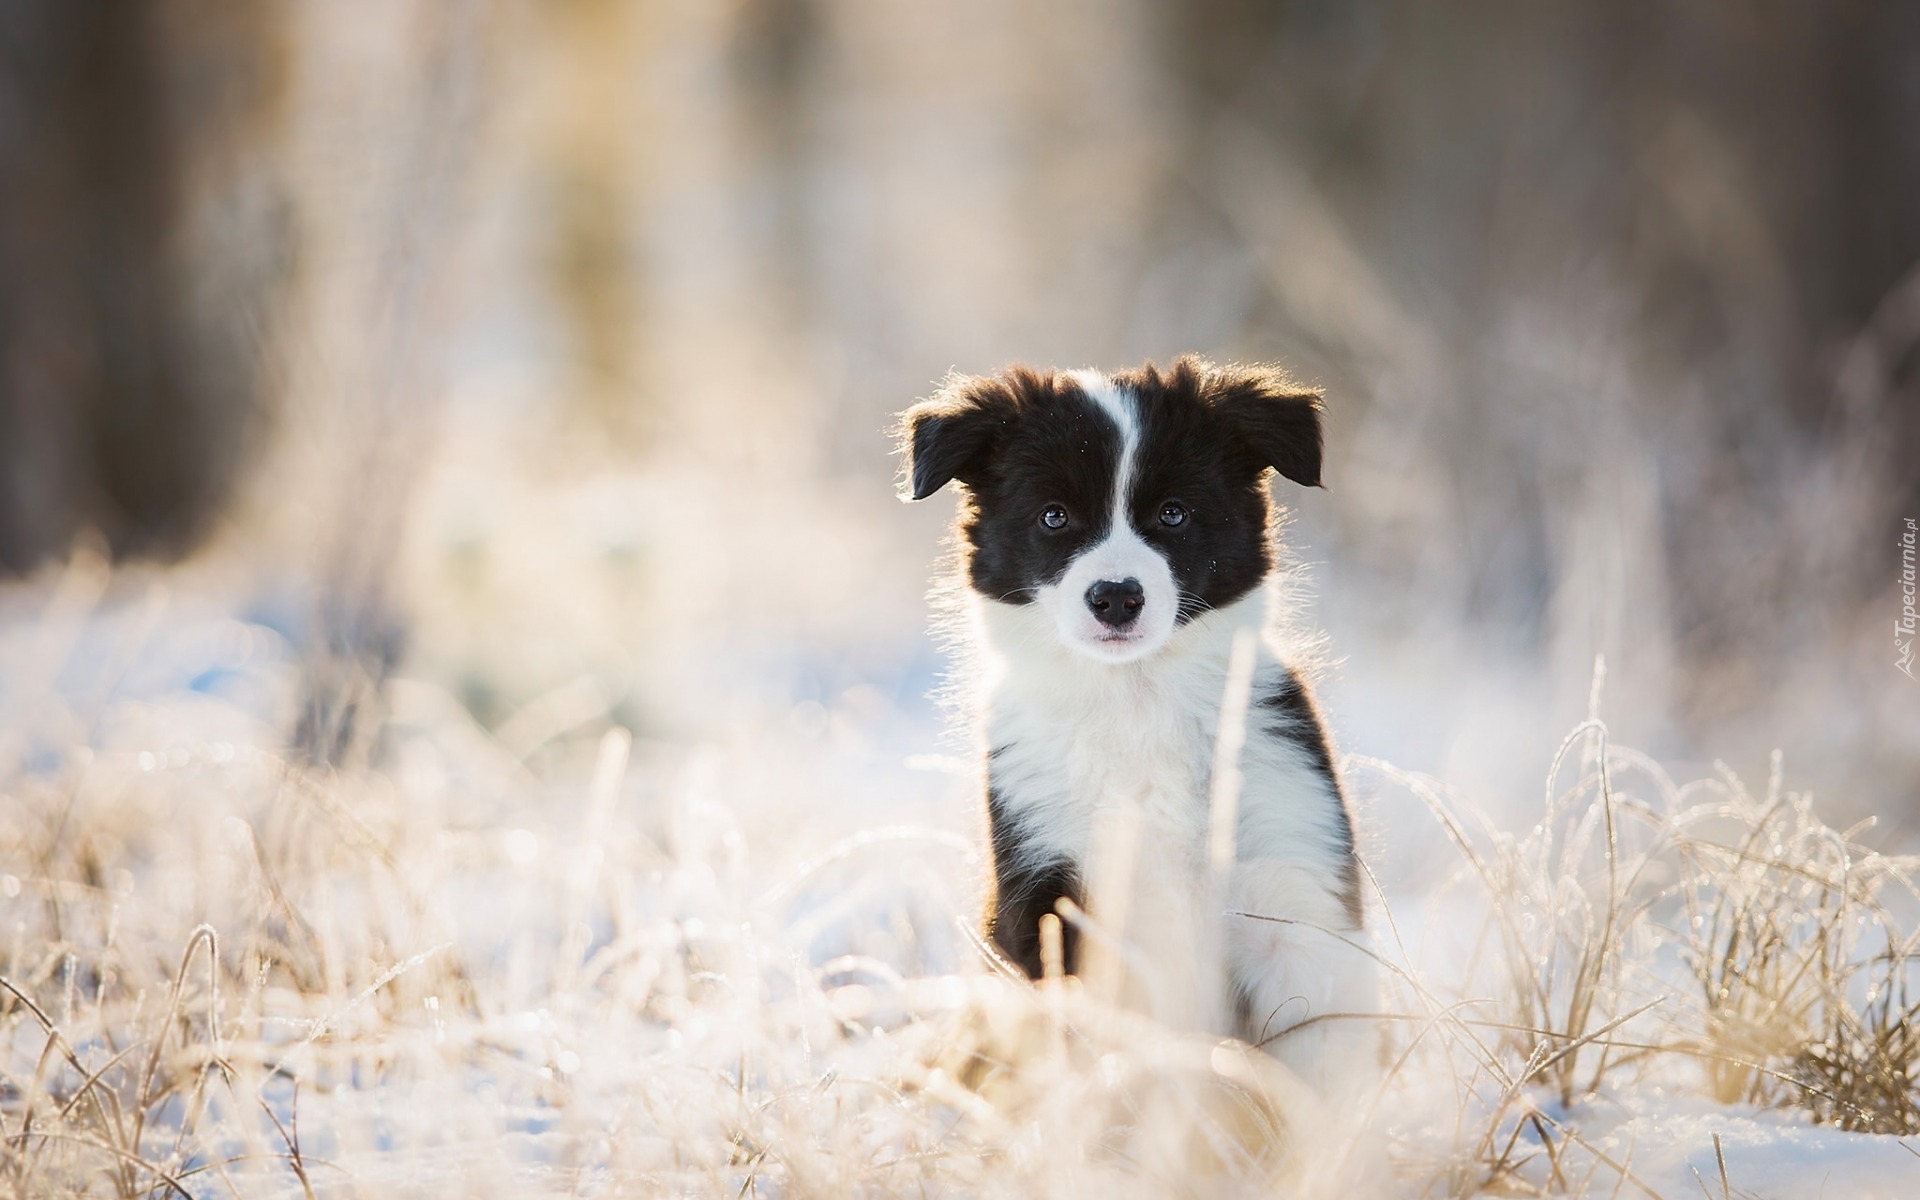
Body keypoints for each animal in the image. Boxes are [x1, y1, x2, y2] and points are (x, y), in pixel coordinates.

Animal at [902, 353, 1382, 1082]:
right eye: (1053, 517)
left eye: (1174, 513)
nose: (1116, 597)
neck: (1136, 700)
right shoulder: (1052, 895)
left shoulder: (1295, 890)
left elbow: (1319, 1068)